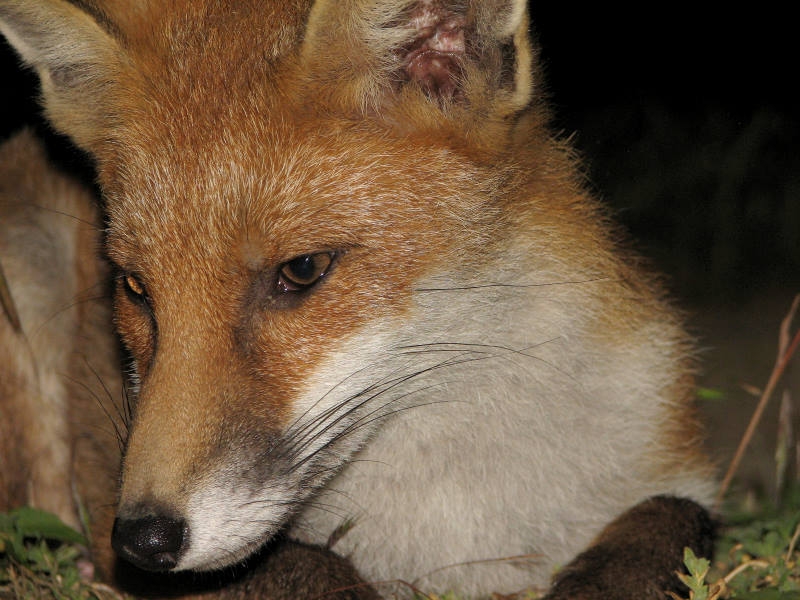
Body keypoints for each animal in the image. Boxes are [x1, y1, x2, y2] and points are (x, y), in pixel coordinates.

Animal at [0, 0, 717, 598]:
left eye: (302, 270)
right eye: (135, 287)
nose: (142, 539)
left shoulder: (667, 465)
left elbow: (673, 519)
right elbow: (306, 566)